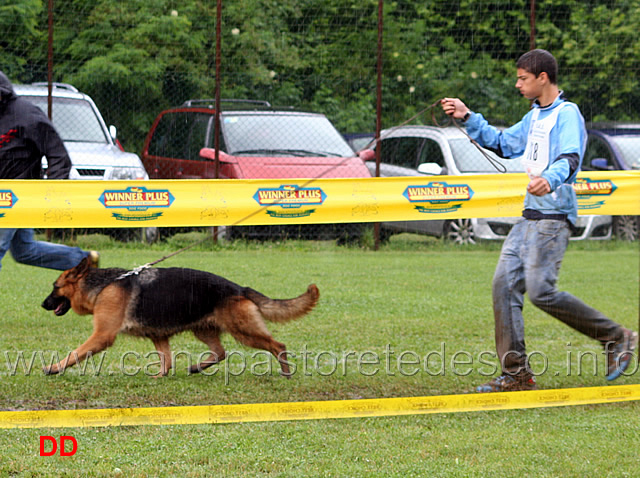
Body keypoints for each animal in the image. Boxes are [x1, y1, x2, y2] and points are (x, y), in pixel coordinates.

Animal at [41, 258, 318, 378]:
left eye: (55, 287)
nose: (43, 304)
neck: (103, 286)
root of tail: (239, 288)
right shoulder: (158, 335)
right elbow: (167, 359)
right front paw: (162, 375)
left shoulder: (101, 336)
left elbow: (76, 353)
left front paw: (54, 368)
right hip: (204, 330)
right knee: (220, 352)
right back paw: (197, 367)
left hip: (244, 330)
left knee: (277, 345)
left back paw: (285, 372)